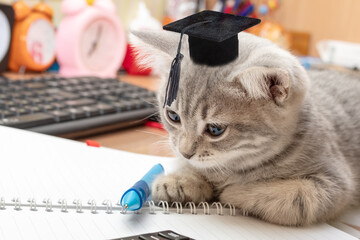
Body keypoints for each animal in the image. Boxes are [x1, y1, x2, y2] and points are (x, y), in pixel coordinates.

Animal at [131, 29, 360, 225]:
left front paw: (232, 190)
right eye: (173, 116)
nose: (185, 152)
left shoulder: (334, 183)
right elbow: (194, 168)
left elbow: (293, 199)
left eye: (215, 130)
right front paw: (181, 179)